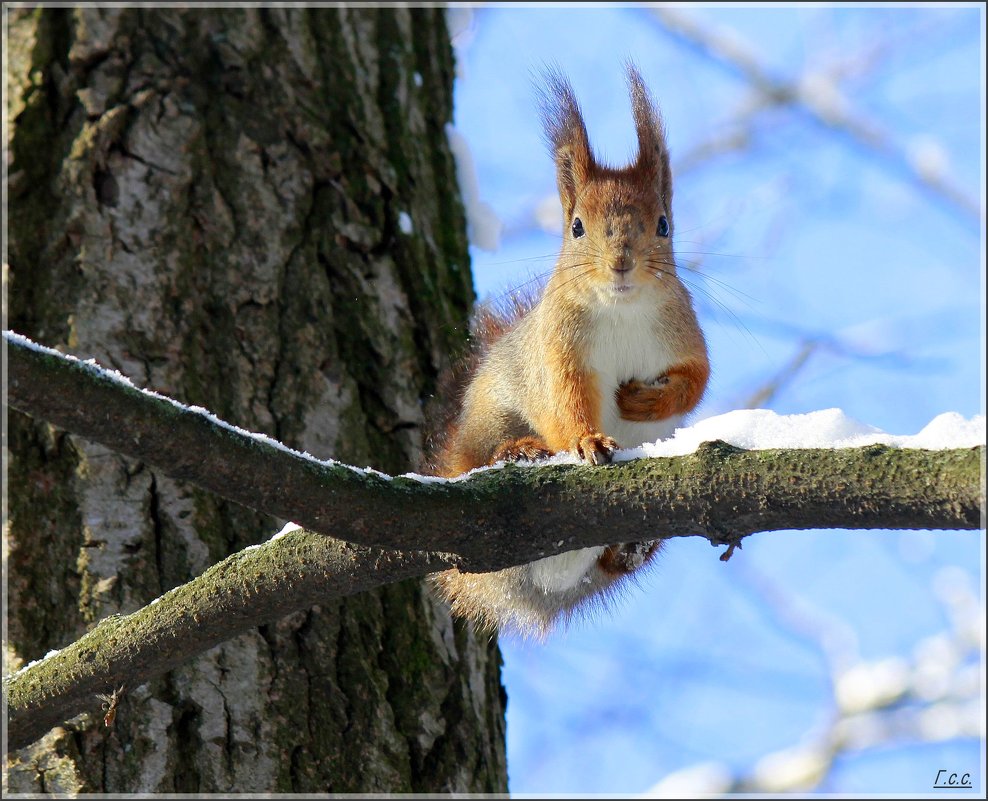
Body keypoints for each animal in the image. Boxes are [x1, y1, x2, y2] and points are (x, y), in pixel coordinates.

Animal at [424, 62, 712, 636]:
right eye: (577, 227)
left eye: (663, 224)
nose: (621, 262)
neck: (621, 309)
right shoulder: (558, 351)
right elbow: (565, 398)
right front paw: (587, 440)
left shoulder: (684, 335)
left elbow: (694, 381)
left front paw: (644, 401)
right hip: (487, 421)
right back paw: (518, 451)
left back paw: (630, 549)